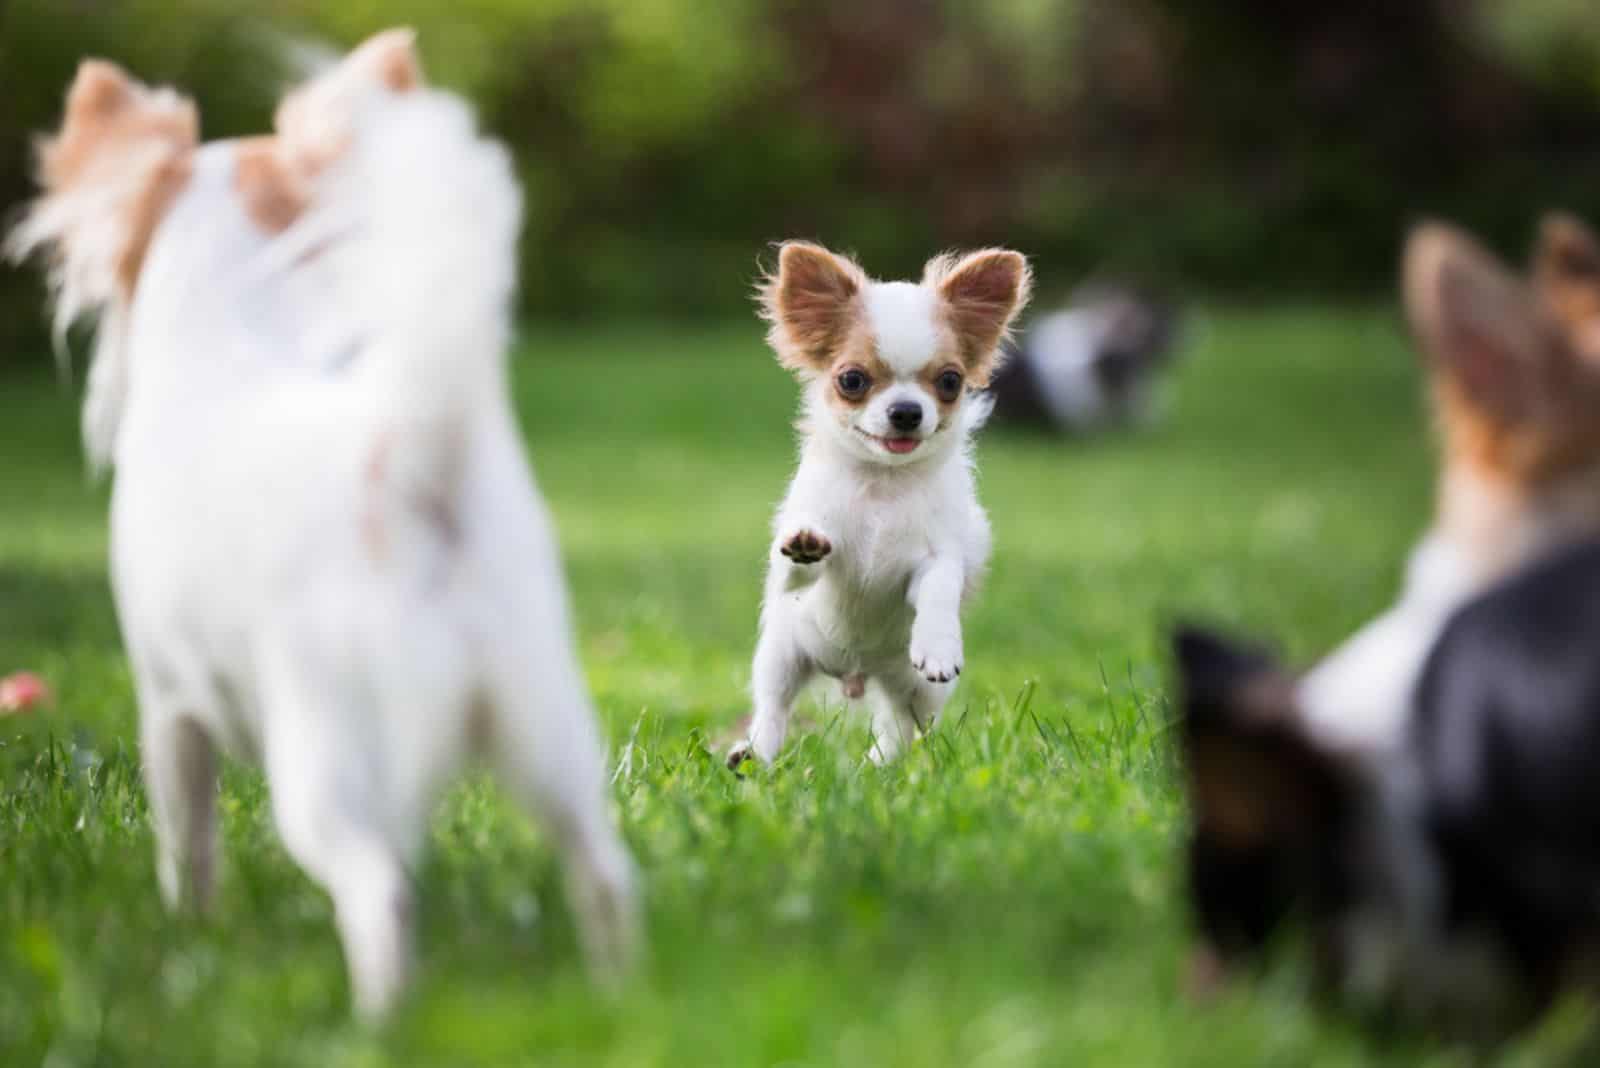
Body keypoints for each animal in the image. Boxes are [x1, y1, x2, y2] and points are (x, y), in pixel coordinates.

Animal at [14, 29, 636, 1016]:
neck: (232, 329)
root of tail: (416, 455)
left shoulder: (169, 706)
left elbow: (185, 841)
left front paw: (188, 934)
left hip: (323, 758)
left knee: (378, 888)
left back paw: (381, 1019)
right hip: (549, 725)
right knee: (603, 871)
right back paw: (621, 1000)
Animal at [729, 239, 1030, 767]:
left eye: (950, 381)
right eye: (852, 380)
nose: (906, 412)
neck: (882, 486)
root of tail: (856, 673)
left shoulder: (938, 558)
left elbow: (938, 588)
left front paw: (939, 645)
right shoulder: (793, 569)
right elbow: (796, 564)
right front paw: (806, 544)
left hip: (917, 692)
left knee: (901, 728)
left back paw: (878, 765)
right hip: (780, 656)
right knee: (773, 709)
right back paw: (754, 756)